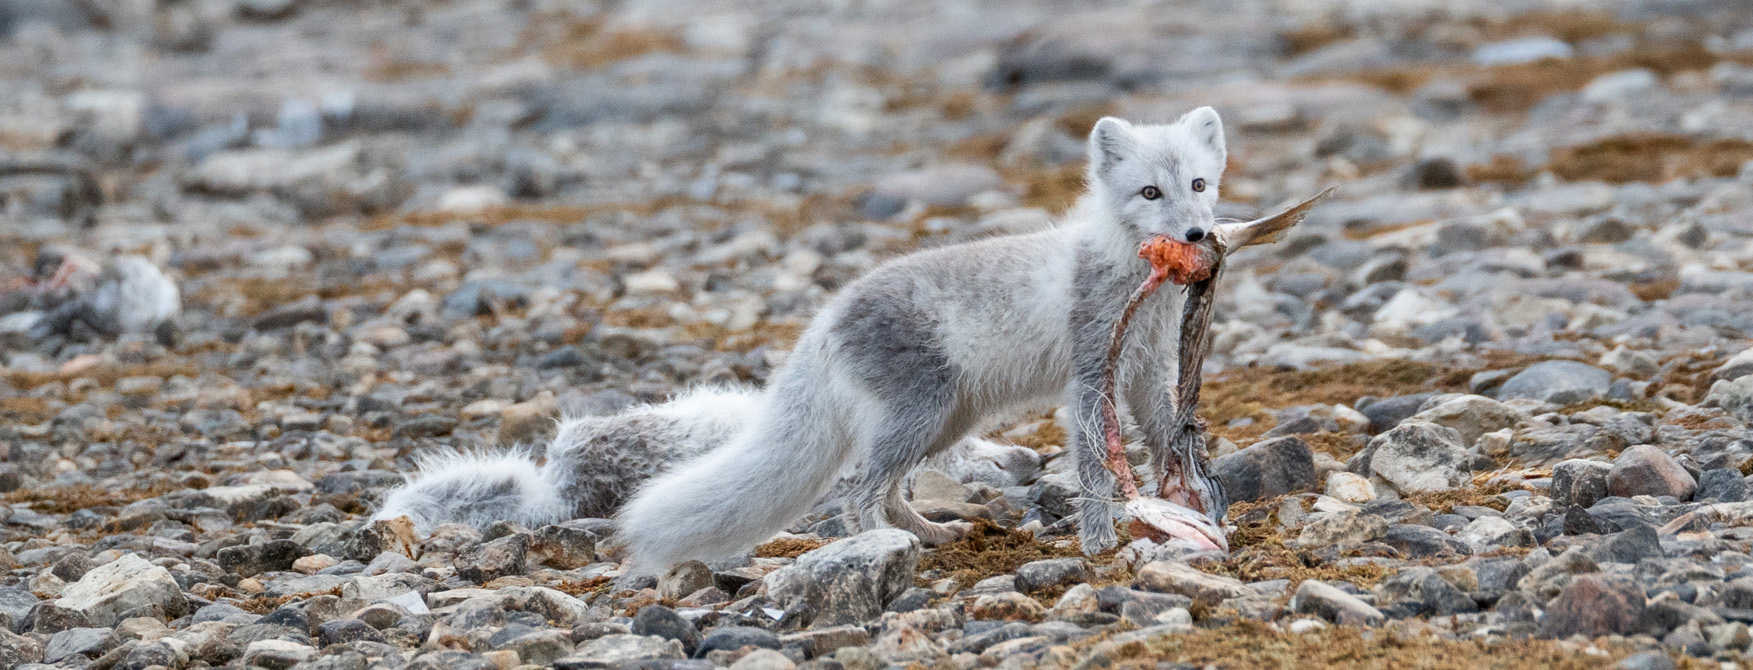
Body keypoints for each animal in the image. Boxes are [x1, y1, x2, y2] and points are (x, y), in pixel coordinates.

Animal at [615, 108, 1229, 571]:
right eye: (1149, 192)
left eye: (1198, 184)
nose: (1196, 232)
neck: (1126, 270)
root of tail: (825, 317)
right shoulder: (1089, 377)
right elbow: (1095, 467)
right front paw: (1099, 540)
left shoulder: (1147, 373)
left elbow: (1165, 437)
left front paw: (1194, 504)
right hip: (918, 415)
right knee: (859, 495)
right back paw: (887, 545)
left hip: (943, 422)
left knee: (885, 491)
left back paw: (934, 535)